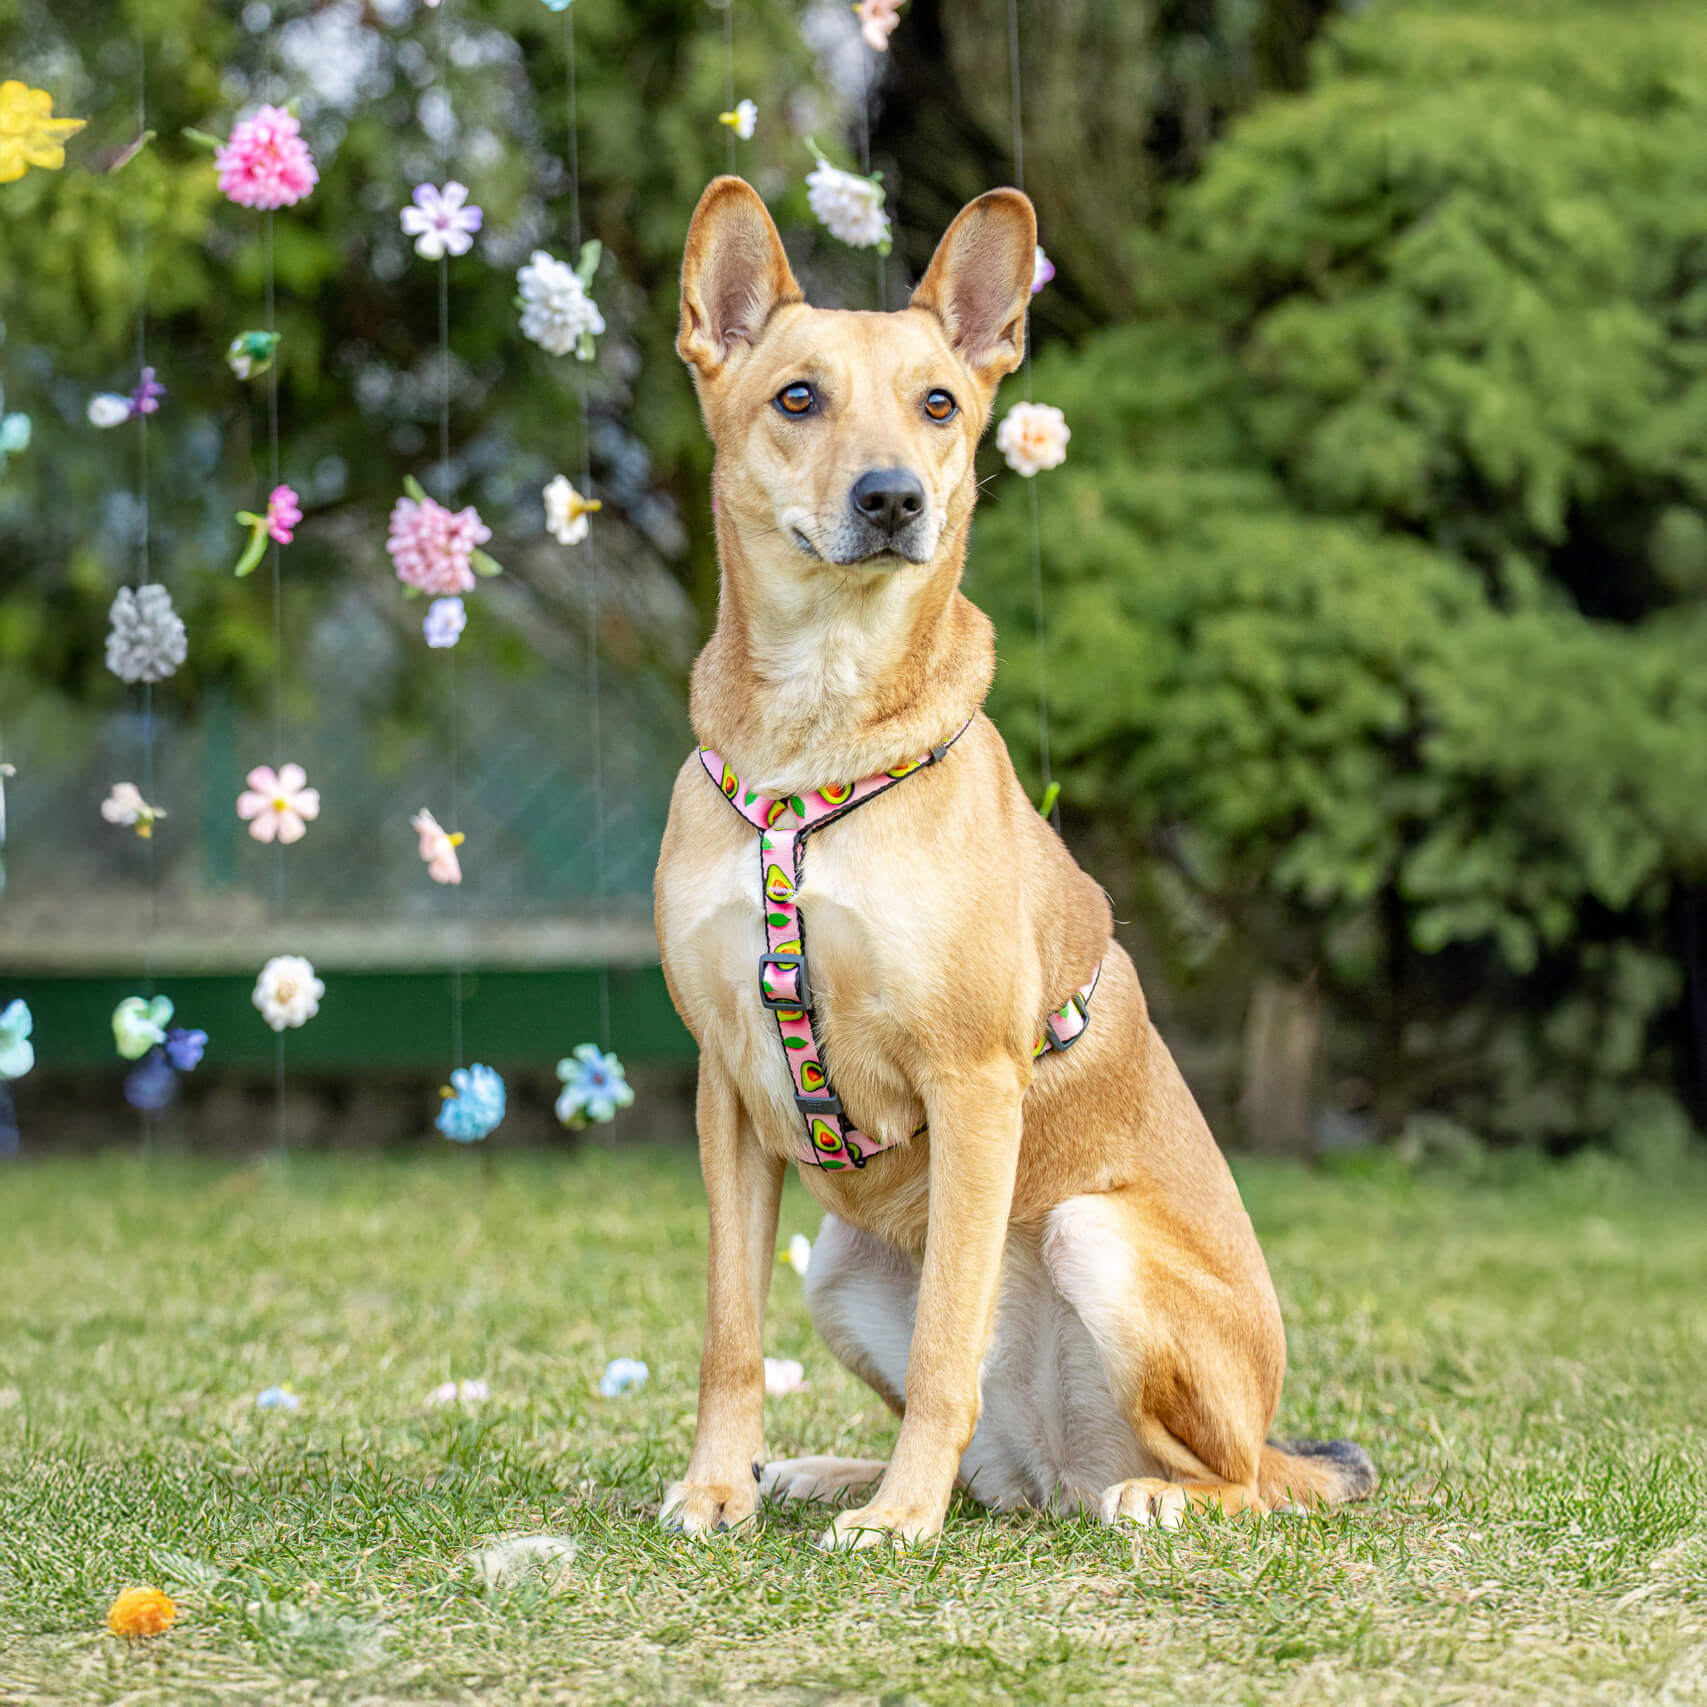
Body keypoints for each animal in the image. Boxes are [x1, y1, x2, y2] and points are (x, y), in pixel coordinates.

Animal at [653, 176, 1375, 1548]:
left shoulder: (974, 1086)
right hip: (842, 1266)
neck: (812, 752)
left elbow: (948, 1346)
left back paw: (1133, 1497)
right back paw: (836, 1475)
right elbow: (723, 1334)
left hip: (1097, 1240)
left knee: (1240, 1484)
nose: (893, 499)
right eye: (798, 398)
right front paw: (721, 1484)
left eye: (939, 404)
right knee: (999, 1468)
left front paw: (899, 1522)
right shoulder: (727, 1088)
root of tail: (1065, 1469)